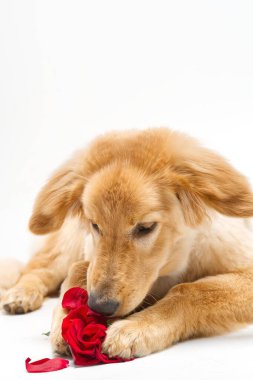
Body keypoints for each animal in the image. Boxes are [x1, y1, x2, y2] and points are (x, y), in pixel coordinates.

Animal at [1, 128, 253, 360]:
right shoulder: (89, 254)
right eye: (95, 225)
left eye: (146, 227)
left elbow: (190, 290)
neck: (172, 263)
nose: (99, 306)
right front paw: (64, 322)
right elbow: (79, 271)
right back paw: (21, 294)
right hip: (66, 243)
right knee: (38, 268)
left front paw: (136, 328)